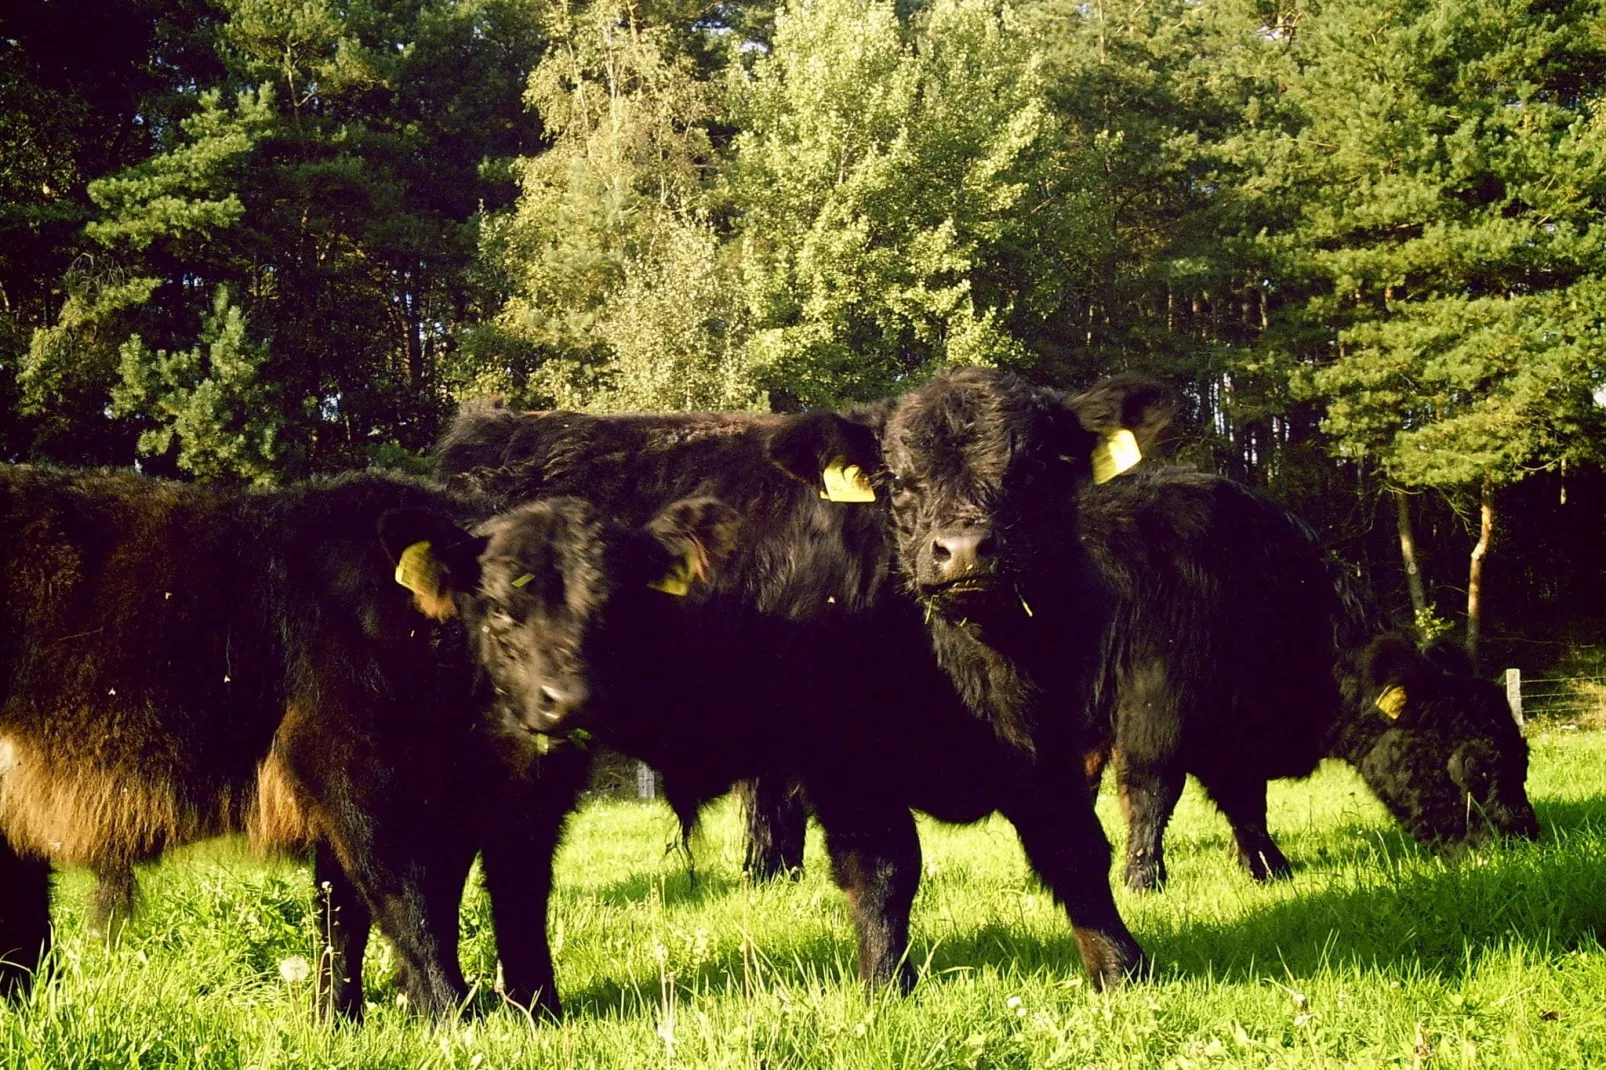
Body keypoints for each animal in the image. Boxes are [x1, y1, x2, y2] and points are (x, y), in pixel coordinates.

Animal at [433, 369, 1175, 989]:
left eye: (1037, 467)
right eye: (898, 478)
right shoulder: (847, 759)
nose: (963, 550)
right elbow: (886, 869)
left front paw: (1123, 968)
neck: (979, 668)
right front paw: (886, 984)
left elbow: (1077, 849)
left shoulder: (1049, 738)